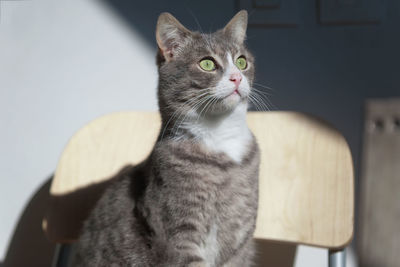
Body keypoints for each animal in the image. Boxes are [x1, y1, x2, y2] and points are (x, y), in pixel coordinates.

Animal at [70, 10, 260, 267]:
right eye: (207, 63)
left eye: (242, 61)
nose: (237, 78)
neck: (221, 139)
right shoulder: (177, 232)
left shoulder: (240, 239)